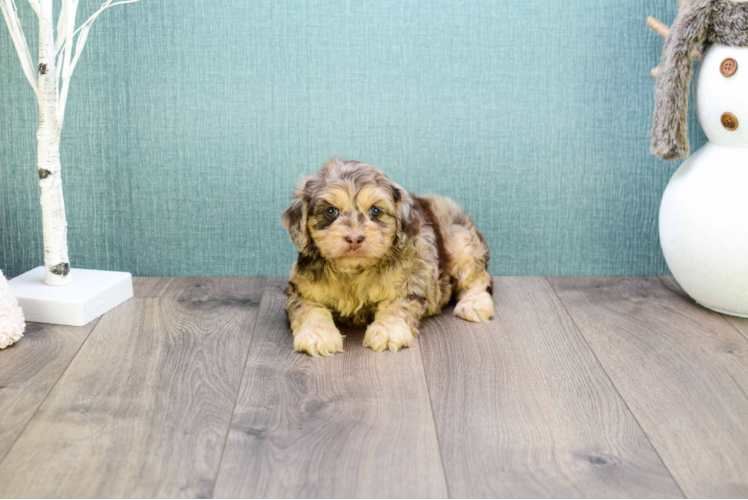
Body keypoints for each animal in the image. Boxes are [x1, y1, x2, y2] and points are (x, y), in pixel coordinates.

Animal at [280, 158, 490, 358]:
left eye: (375, 211)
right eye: (331, 211)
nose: (354, 238)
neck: (354, 272)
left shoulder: (413, 280)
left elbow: (396, 304)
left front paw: (388, 329)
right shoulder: (301, 289)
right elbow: (309, 308)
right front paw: (317, 334)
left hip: (462, 240)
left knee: (477, 279)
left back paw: (475, 303)